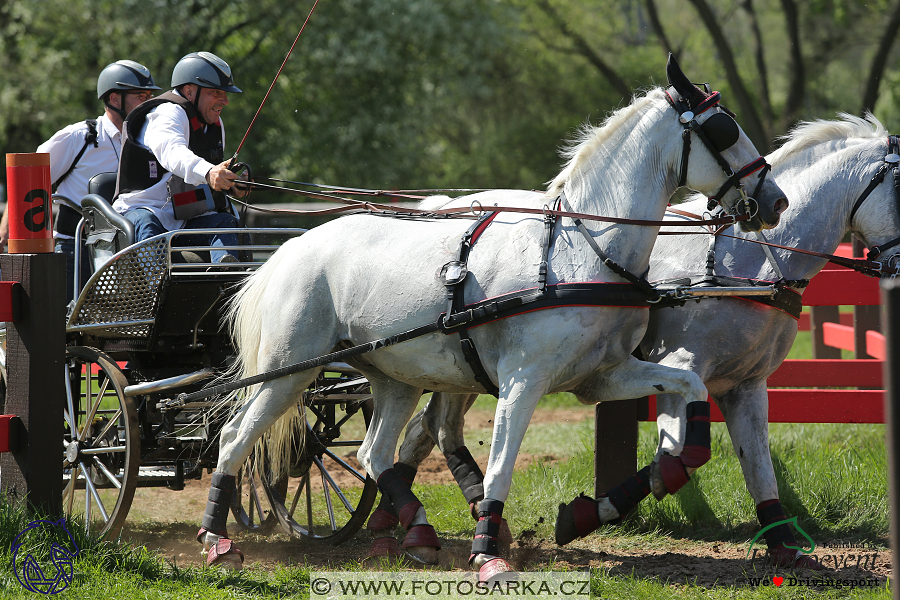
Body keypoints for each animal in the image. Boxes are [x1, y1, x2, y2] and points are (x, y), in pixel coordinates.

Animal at [200, 56, 784, 576]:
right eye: (724, 129)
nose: (774, 200)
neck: (583, 250)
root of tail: (290, 248)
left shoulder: (603, 377)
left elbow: (690, 386)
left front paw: (670, 467)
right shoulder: (523, 381)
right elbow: (502, 464)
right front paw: (488, 554)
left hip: (395, 378)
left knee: (373, 453)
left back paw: (419, 532)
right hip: (287, 372)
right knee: (234, 439)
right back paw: (216, 540)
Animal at [388, 111, 900, 568]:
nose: (895, 268)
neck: (746, 263)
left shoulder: (746, 386)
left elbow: (759, 470)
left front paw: (783, 547)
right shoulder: (681, 365)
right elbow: (675, 455)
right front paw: (587, 515)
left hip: (459, 367)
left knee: (425, 428)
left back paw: (400, 517)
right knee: (432, 426)